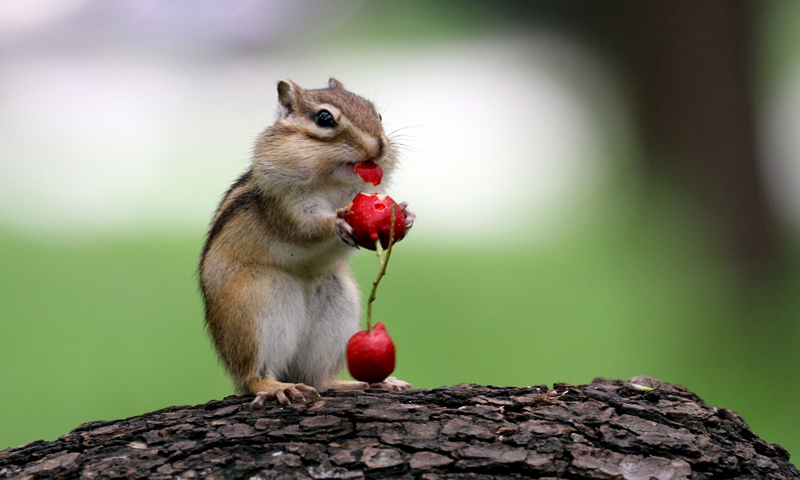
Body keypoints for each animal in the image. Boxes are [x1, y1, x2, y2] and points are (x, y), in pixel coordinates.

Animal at [199, 78, 414, 407]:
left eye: (377, 115)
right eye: (324, 119)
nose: (379, 147)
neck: (331, 181)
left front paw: (405, 214)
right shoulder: (283, 201)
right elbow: (305, 228)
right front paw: (336, 221)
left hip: (337, 306)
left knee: (319, 378)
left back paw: (369, 383)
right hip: (256, 307)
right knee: (253, 376)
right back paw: (276, 387)